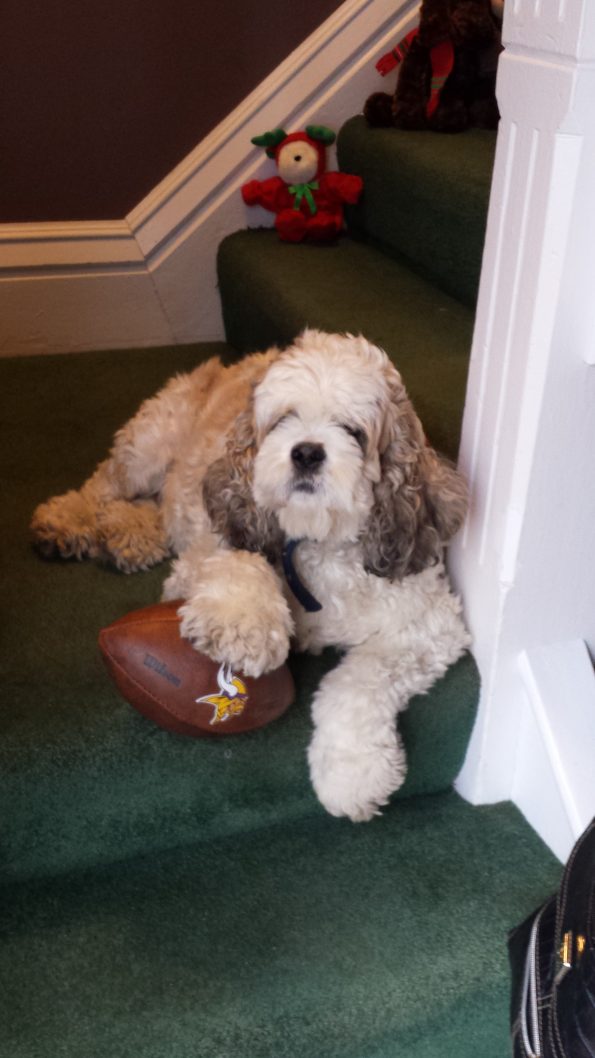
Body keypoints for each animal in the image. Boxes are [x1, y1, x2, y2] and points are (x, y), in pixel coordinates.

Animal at [32, 330, 467, 816]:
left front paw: (353, 773)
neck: (315, 537)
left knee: (143, 506)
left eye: (353, 430)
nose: (307, 452)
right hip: (147, 445)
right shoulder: (211, 546)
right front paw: (244, 627)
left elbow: (358, 683)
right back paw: (68, 523)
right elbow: (242, 558)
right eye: (283, 420)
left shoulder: (427, 625)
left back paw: (131, 534)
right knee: (103, 486)